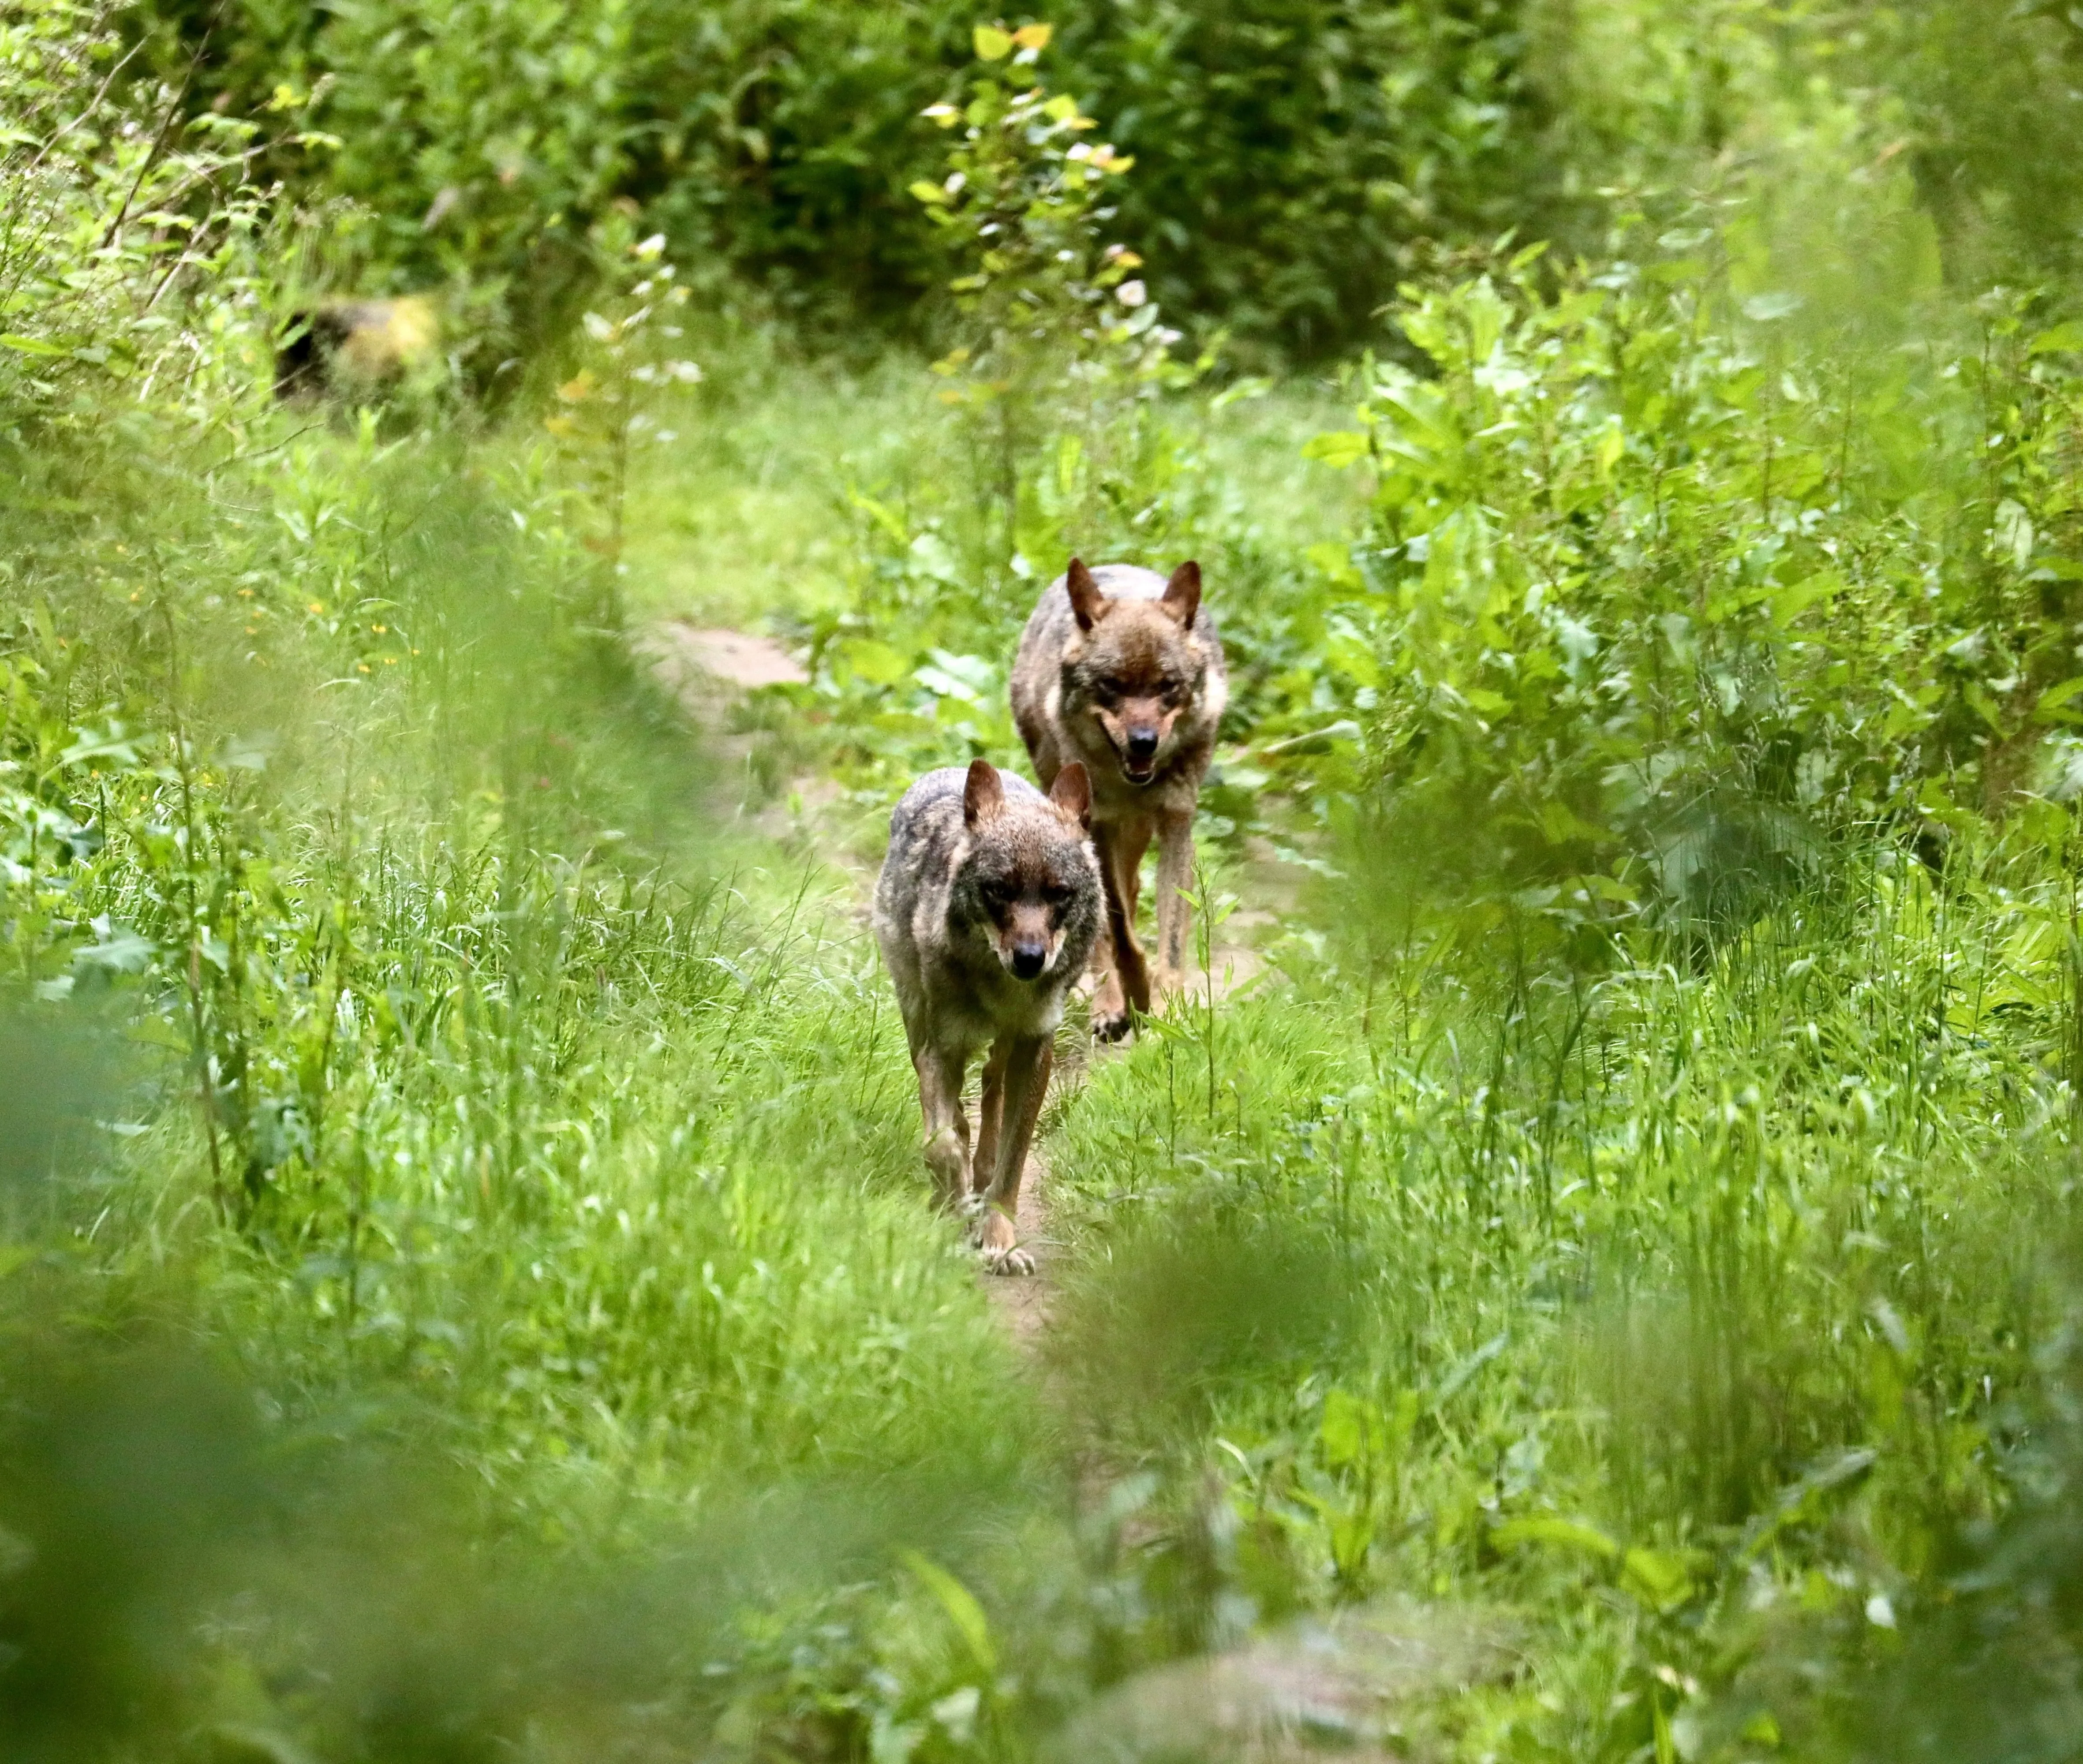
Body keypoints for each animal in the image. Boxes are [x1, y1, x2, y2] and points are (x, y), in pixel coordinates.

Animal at [872, 758, 1103, 1273]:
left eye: (1060, 893)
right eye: (999, 889)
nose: (1030, 959)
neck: (1002, 994)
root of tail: (950, 769)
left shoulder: (1036, 1048)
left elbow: (1012, 1162)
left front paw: (1001, 1241)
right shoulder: (941, 1047)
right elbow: (941, 1142)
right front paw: (955, 1211)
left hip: (1005, 1051)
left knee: (992, 1091)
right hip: (917, 1023)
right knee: (958, 1114)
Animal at [1010, 559, 1227, 1040]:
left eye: (1168, 686)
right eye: (1111, 684)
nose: (1144, 742)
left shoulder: (1176, 824)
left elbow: (1170, 937)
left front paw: (1166, 1011)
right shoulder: (1100, 827)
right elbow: (1120, 932)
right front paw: (1133, 997)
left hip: (1138, 832)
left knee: (1132, 888)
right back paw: (1103, 1001)